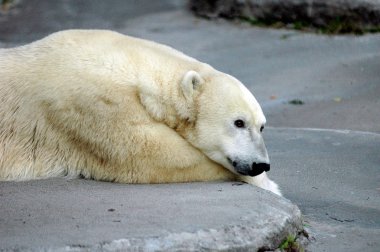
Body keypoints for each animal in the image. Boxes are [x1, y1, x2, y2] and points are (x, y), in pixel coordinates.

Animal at [0, 29, 280, 195]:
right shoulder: (94, 103)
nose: (260, 164)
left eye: (262, 126)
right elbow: (154, 155)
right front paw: (269, 185)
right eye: (239, 122)